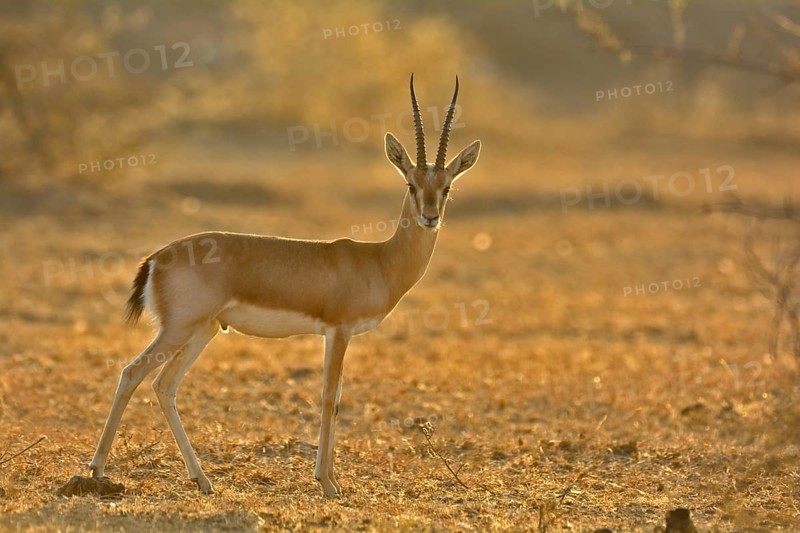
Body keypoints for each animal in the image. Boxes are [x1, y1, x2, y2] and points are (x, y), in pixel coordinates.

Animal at [86, 74, 481, 496]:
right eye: (410, 184)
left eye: (446, 187)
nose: (430, 217)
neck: (379, 261)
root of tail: (156, 257)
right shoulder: (338, 331)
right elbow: (329, 397)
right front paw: (327, 483)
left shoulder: (338, 334)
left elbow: (336, 398)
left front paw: (331, 479)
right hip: (179, 329)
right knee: (132, 373)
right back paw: (97, 469)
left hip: (202, 331)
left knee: (164, 385)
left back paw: (202, 480)